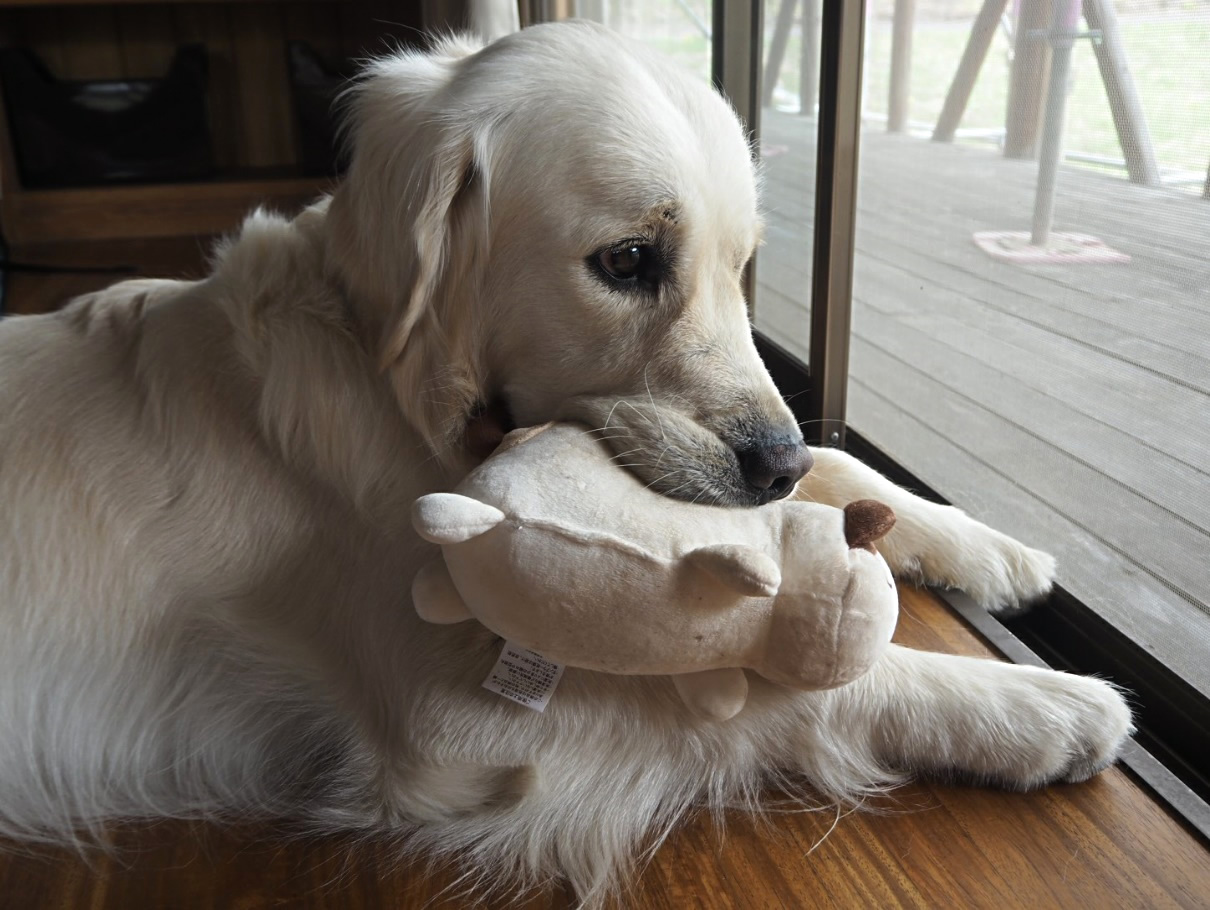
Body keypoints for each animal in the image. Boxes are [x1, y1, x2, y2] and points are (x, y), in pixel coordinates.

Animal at [0, 19, 1132, 905]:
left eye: (741, 265)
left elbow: (843, 472)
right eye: (627, 261)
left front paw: (991, 548)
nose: (770, 466)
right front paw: (1045, 708)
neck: (410, 407)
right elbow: (779, 689)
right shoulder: (447, 724)